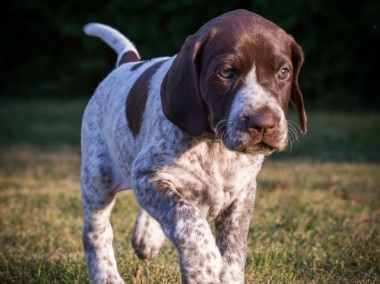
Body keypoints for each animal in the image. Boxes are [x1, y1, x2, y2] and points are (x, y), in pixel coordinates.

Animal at [81, 8, 306, 284]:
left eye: (283, 72)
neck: (215, 144)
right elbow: (188, 219)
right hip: (98, 178)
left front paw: (227, 274)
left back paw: (147, 237)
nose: (263, 124)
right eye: (226, 72)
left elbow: (234, 248)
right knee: (96, 233)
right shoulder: (148, 177)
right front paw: (204, 266)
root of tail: (125, 64)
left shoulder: (243, 191)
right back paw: (107, 276)